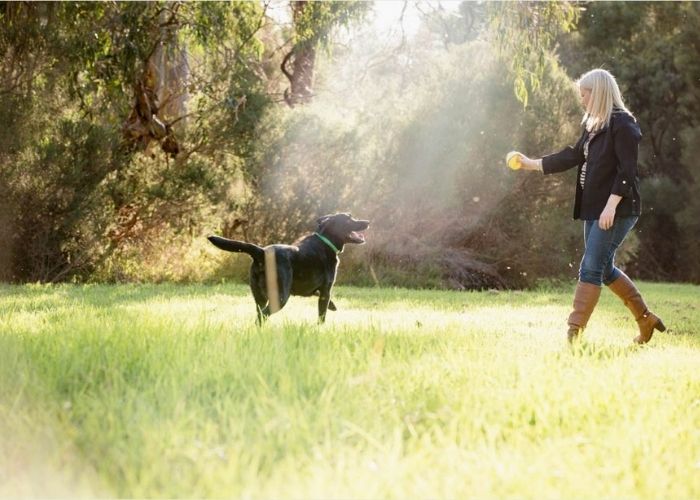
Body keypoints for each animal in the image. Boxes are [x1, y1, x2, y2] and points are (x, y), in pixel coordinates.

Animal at [211, 212, 370, 322]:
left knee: (260, 315)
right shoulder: (326, 290)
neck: (326, 241)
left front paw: (333, 306)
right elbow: (321, 316)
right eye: (349, 218)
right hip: (280, 297)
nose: (367, 222)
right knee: (263, 315)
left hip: (259, 297)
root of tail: (262, 252)